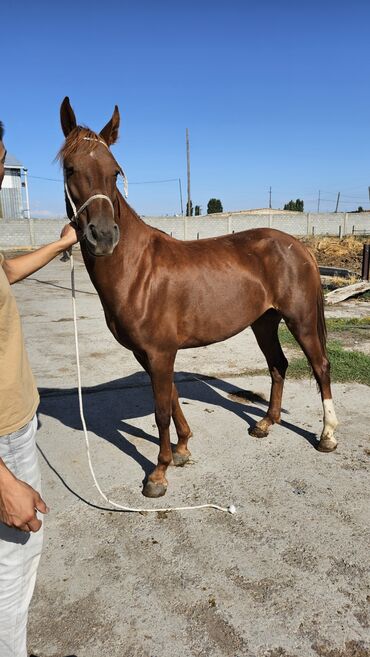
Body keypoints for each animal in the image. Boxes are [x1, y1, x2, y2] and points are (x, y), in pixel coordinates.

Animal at [57, 96, 338, 498]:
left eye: (114, 171)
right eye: (70, 168)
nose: (104, 236)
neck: (137, 269)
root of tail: (297, 245)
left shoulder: (160, 352)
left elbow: (160, 410)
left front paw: (158, 474)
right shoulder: (149, 353)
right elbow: (173, 397)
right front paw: (183, 448)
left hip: (300, 319)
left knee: (320, 367)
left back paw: (327, 436)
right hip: (263, 322)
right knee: (278, 366)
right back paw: (265, 424)